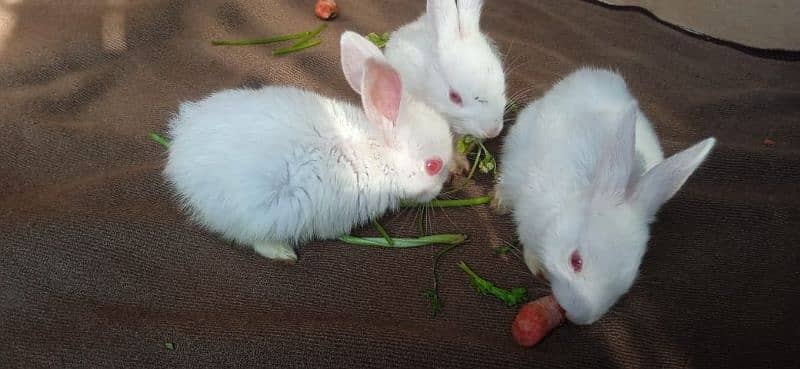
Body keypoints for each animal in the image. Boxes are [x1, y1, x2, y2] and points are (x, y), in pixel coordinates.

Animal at [164, 31, 450, 262]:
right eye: (433, 166)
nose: (440, 190)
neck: (377, 153)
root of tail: (179, 153)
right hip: (264, 211)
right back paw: (284, 254)